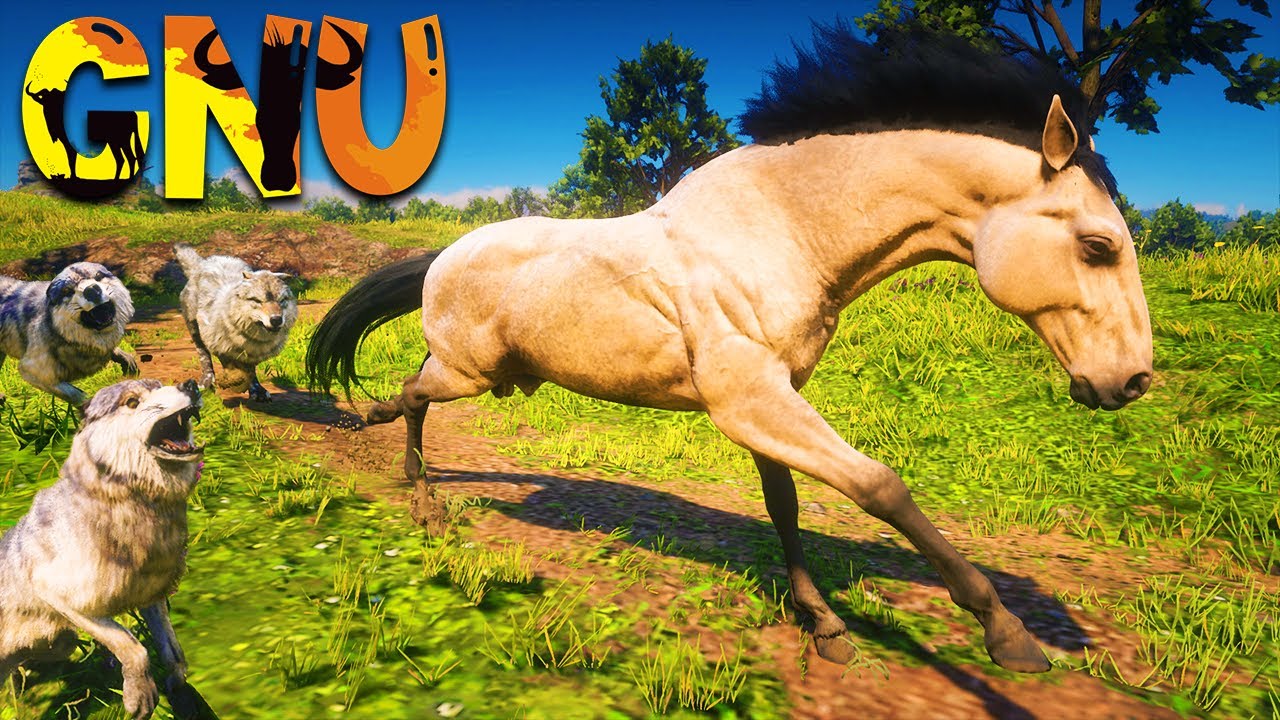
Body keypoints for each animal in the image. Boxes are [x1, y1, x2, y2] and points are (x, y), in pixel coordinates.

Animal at [0, 379, 203, 719]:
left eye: (161, 385)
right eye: (133, 402)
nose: (190, 384)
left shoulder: (151, 595)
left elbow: (171, 648)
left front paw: (178, 685)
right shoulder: (59, 596)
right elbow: (130, 643)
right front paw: (140, 697)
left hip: (57, 644)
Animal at [174, 243, 297, 402]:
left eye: (281, 300)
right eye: (257, 300)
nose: (276, 319)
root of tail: (201, 263)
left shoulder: (253, 355)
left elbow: (251, 371)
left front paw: (258, 391)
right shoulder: (217, 342)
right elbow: (228, 363)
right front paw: (233, 381)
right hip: (194, 327)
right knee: (203, 355)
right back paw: (206, 383)